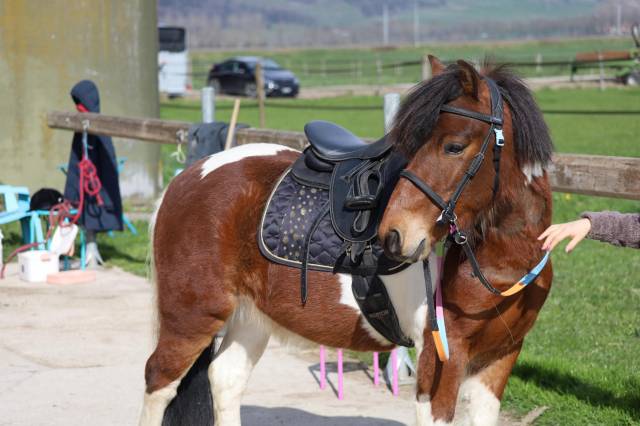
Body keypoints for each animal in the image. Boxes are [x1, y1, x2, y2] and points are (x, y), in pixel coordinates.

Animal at [139, 56, 554, 426]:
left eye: (453, 146)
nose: (394, 235)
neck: (503, 262)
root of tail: (188, 177)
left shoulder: (498, 358)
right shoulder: (440, 363)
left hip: (250, 316)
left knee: (225, 378)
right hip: (192, 316)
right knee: (159, 382)